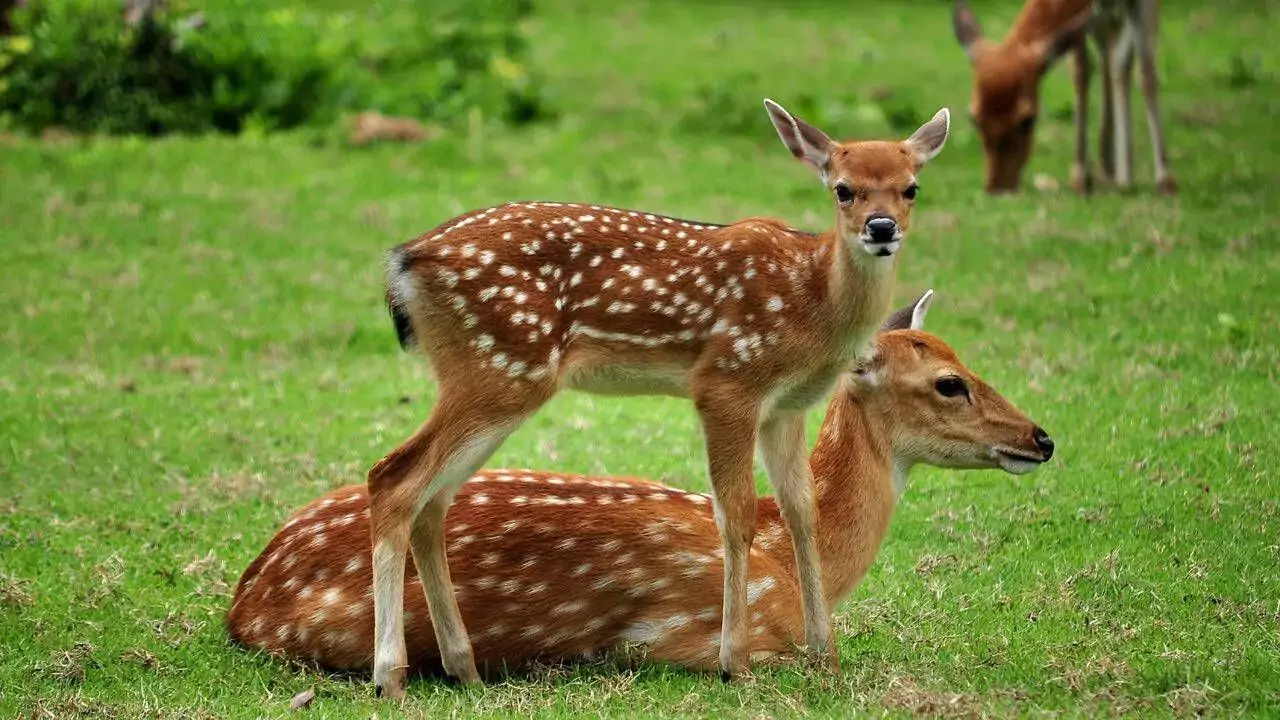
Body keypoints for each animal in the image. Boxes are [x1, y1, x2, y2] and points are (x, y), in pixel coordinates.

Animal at [228, 291, 1055, 678]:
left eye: (964, 358)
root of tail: (242, 600)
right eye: (949, 383)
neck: (789, 560)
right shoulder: (695, 635)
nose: (1041, 438)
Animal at [363, 98, 951, 696]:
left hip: (490, 374)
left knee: (431, 500)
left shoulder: (786, 407)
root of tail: (403, 263)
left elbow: (800, 512)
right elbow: (736, 514)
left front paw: (825, 660)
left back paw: (464, 668)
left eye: (911, 187)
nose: (881, 228)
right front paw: (734, 663)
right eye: (842, 188)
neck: (813, 300)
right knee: (394, 476)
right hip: (499, 366)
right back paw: (389, 676)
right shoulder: (727, 380)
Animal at [952, 0, 1177, 195]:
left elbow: (1146, 73)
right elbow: (1081, 72)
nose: (997, 188)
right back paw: (1107, 166)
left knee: (1120, 61)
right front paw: (1080, 178)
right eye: (974, 118)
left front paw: (1165, 180)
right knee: (1107, 53)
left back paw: (1123, 174)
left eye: (1028, 120)